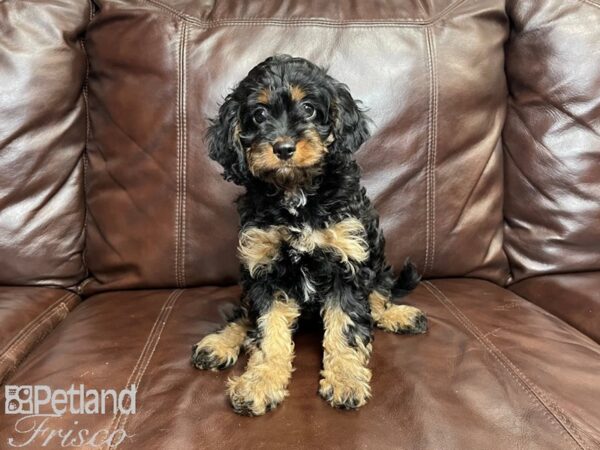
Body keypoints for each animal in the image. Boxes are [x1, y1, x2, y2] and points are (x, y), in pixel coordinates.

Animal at [192, 54, 426, 416]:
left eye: (309, 109)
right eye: (258, 115)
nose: (284, 148)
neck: (296, 193)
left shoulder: (348, 259)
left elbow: (345, 326)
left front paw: (345, 379)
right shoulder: (264, 268)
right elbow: (267, 330)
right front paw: (260, 382)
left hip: (376, 257)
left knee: (379, 295)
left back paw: (399, 315)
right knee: (243, 314)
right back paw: (219, 342)